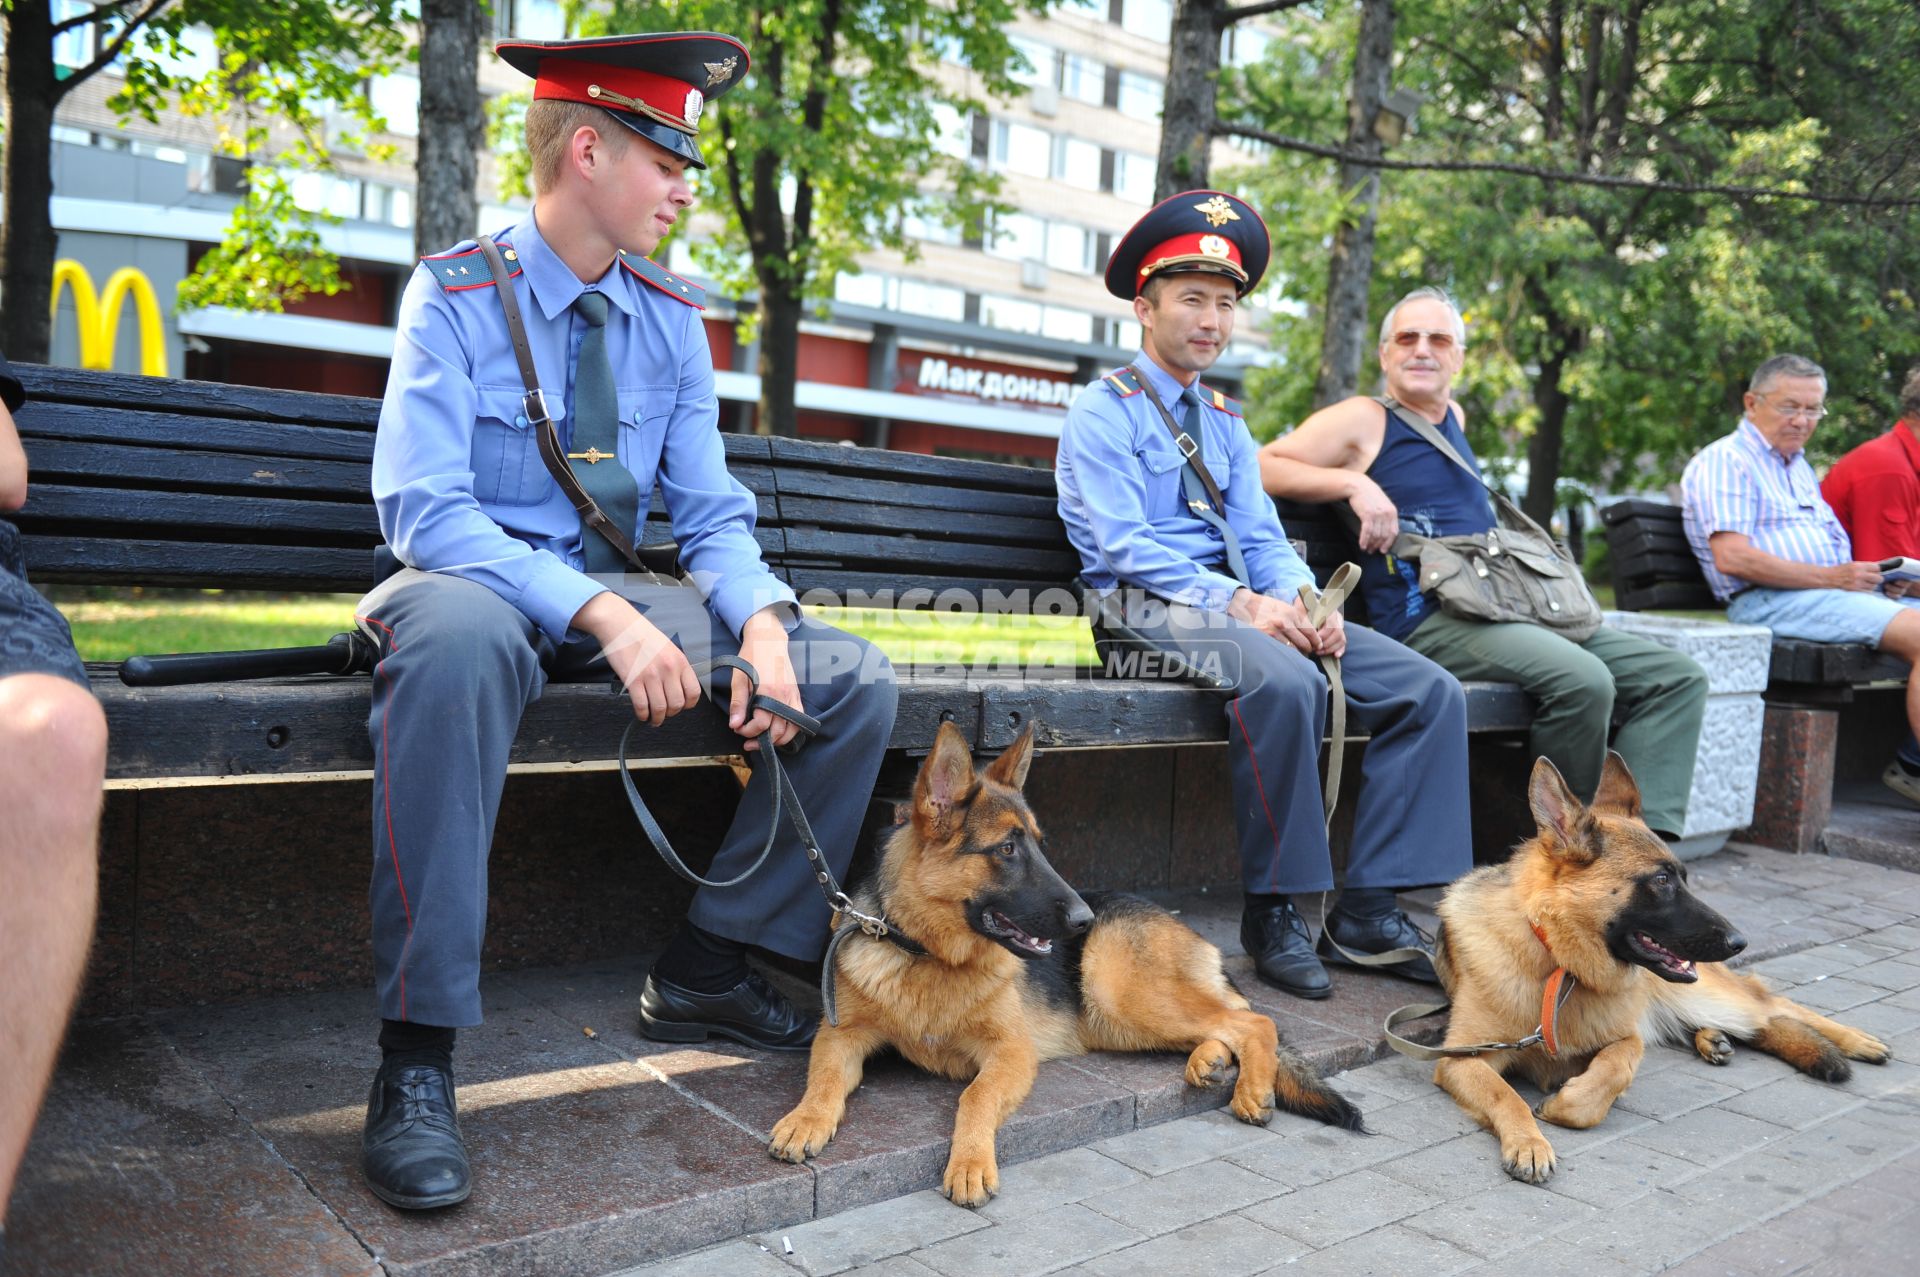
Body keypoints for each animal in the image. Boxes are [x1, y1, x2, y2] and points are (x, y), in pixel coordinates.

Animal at [764, 722, 1367, 1198]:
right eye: (1007, 849)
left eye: (1039, 844)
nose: (1083, 919)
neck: (930, 955)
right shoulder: (841, 1037)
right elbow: (822, 1081)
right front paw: (805, 1121)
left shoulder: (1010, 1052)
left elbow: (974, 1096)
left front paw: (970, 1163)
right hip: (1119, 1023)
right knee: (1228, 1023)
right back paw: (1210, 1061)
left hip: (1117, 996)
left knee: (1255, 1020)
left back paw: (1251, 1089)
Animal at [1428, 752, 1889, 1182]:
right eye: (1662, 881)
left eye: (1683, 876)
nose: (1739, 941)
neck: (1556, 961)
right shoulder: (1462, 1059)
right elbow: (1506, 1095)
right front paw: (1529, 1143)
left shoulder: (1624, 1037)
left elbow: (1618, 1066)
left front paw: (1565, 1104)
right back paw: (1713, 1039)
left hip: (1705, 995)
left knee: (1774, 1005)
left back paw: (1857, 1040)